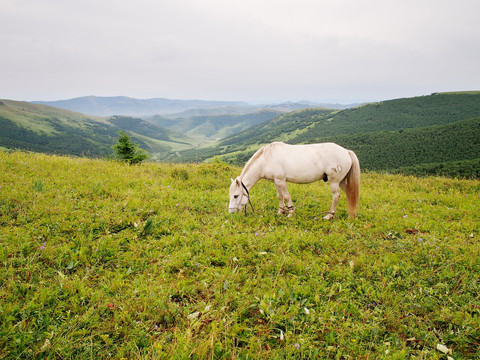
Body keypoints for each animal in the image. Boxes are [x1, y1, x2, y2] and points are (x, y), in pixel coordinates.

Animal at [229, 141, 360, 219]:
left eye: (236, 196)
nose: (231, 212)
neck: (266, 159)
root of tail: (346, 151)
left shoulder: (281, 180)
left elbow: (287, 197)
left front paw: (290, 213)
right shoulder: (276, 181)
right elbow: (280, 196)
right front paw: (281, 212)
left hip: (334, 181)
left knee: (336, 196)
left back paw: (329, 216)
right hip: (341, 181)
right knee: (350, 194)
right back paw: (351, 214)